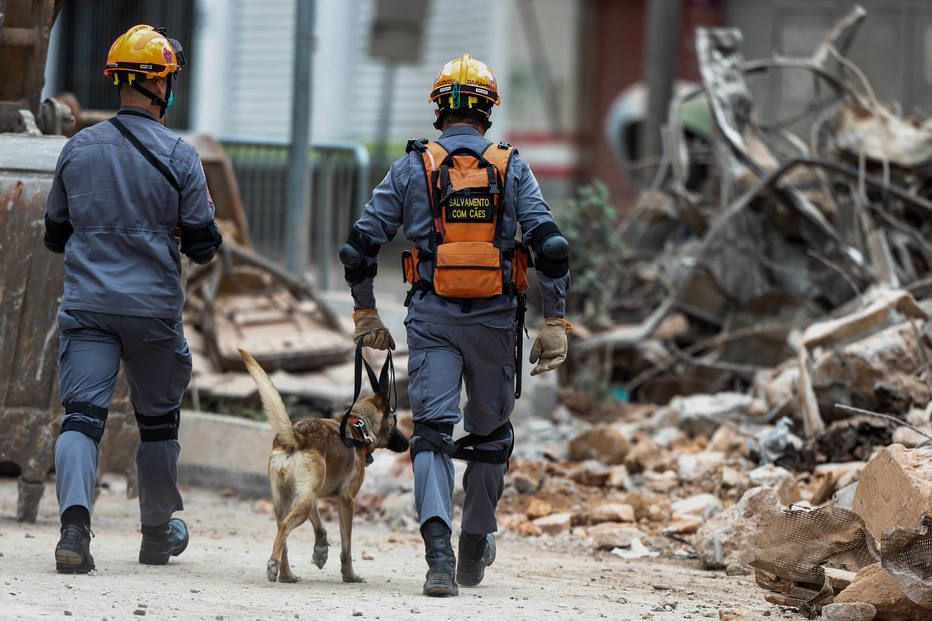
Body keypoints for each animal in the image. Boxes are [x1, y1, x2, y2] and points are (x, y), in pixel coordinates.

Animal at [238, 348, 409, 584]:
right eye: (395, 421)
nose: (408, 443)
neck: (359, 426)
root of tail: (297, 436)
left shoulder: (311, 494)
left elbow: (320, 525)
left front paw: (320, 550)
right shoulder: (346, 500)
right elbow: (346, 546)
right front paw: (350, 575)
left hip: (289, 499)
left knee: (282, 531)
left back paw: (286, 574)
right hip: (303, 501)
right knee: (284, 527)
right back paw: (274, 565)